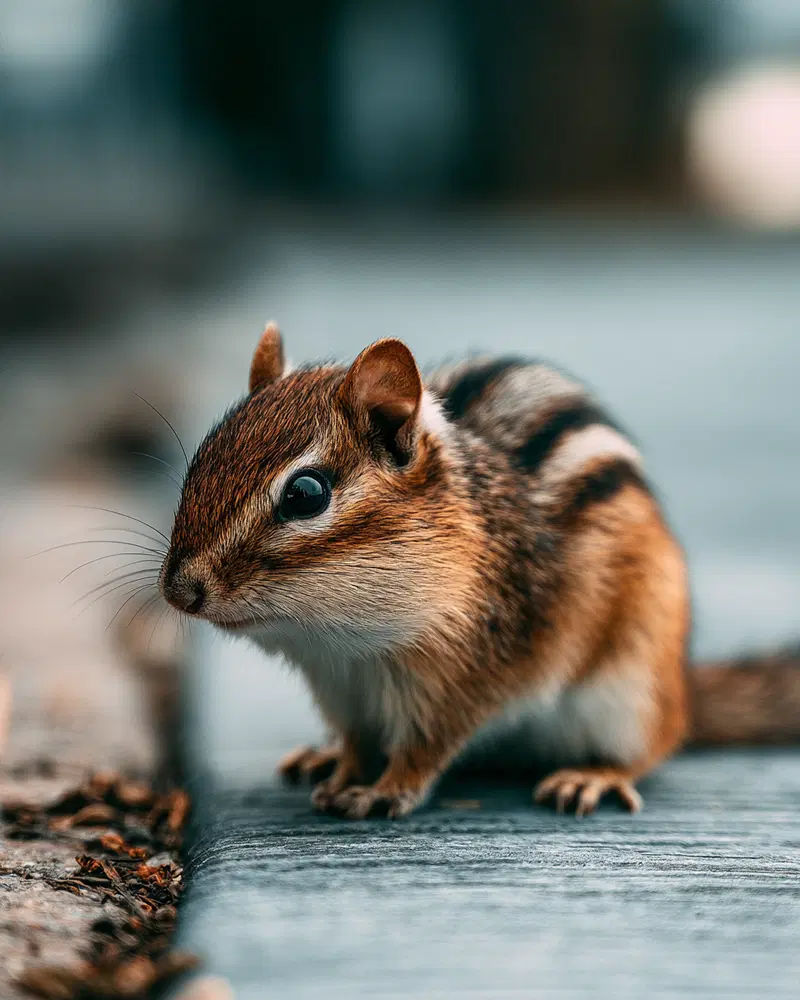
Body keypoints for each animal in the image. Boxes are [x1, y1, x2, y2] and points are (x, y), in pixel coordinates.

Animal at [160, 322, 800, 819]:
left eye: (305, 494)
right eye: (201, 458)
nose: (179, 592)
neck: (344, 644)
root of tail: (682, 685)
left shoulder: (468, 674)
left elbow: (425, 746)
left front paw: (385, 790)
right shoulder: (340, 689)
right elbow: (358, 741)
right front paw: (343, 767)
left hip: (631, 687)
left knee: (655, 742)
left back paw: (594, 775)